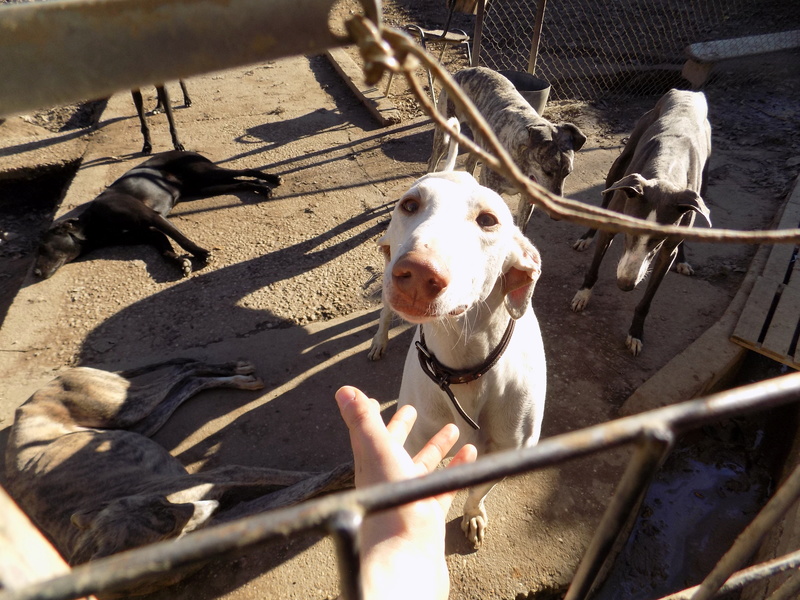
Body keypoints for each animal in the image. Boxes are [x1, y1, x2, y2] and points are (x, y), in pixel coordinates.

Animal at [33, 151, 282, 280]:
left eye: (43, 248)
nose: (35, 273)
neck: (94, 223)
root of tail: (183, 150)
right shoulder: (150, 233)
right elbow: (165, 251)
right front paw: (181, 263)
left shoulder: (152, 218)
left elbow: (181, 238)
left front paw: (201, 253)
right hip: (205, 187)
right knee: (239, 183)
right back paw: (260, 188)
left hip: (206, 174)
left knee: (244, 170)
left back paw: (270, 178)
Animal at [372, 170, 548, 548]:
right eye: (410, 205)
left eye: (488, 220)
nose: (418, 272)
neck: (462, 368)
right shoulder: (417, 442)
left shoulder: (507, 453)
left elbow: (477, 493)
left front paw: (472, 516)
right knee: (384, 312)